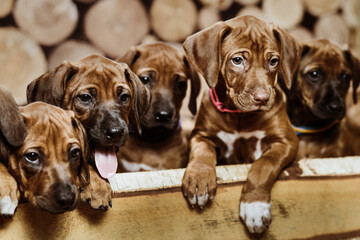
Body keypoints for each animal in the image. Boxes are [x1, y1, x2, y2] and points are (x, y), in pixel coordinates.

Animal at [180, 15, 300, 233]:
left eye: (273, 61)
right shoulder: (201, 135)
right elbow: (202, 152)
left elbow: (263, 165)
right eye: (237, 60)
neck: (239, 116)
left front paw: (255, 206)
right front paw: (199, 179)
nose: (262, 98)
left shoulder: (286, 141)